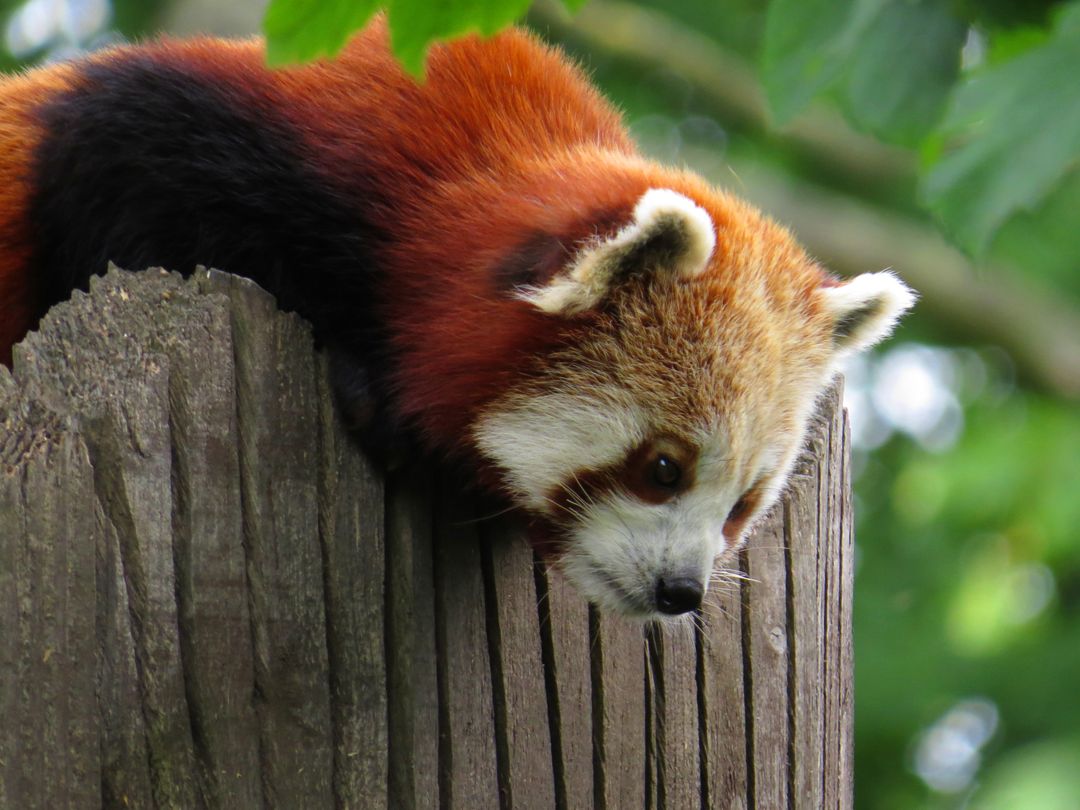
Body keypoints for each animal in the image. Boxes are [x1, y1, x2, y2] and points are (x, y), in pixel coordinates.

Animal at [0, 14, 911, 622]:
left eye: (743, 503)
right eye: (663, 468)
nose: (681, 591)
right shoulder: (194, 132)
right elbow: (131, 218)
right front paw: (369, 383)